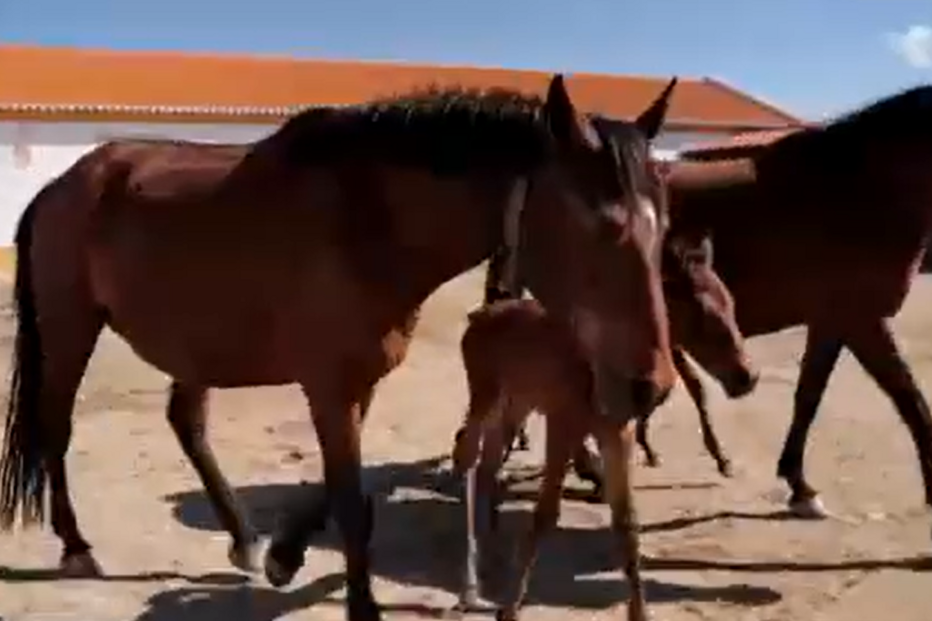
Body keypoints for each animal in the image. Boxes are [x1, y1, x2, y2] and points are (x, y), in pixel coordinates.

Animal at [0, 74, 679, 621]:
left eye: (663, 226)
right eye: (602, 227)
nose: (651, 385)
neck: (367, 217)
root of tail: (60, 186)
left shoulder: (358, 379)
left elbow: (338, 489)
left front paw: (284, 554)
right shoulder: (328, 383)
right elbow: (352, 505)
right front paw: (360, 605)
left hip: (195, 342)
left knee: (186, 422)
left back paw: (245, 541)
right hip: (70, 326)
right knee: (56, 426)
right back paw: (77, 547)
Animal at [632, 84, 932, 522]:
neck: (860, 185)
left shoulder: (832, 323)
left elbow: (808, 397)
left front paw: (798, 485)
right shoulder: (861, 319)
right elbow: (909, 398)